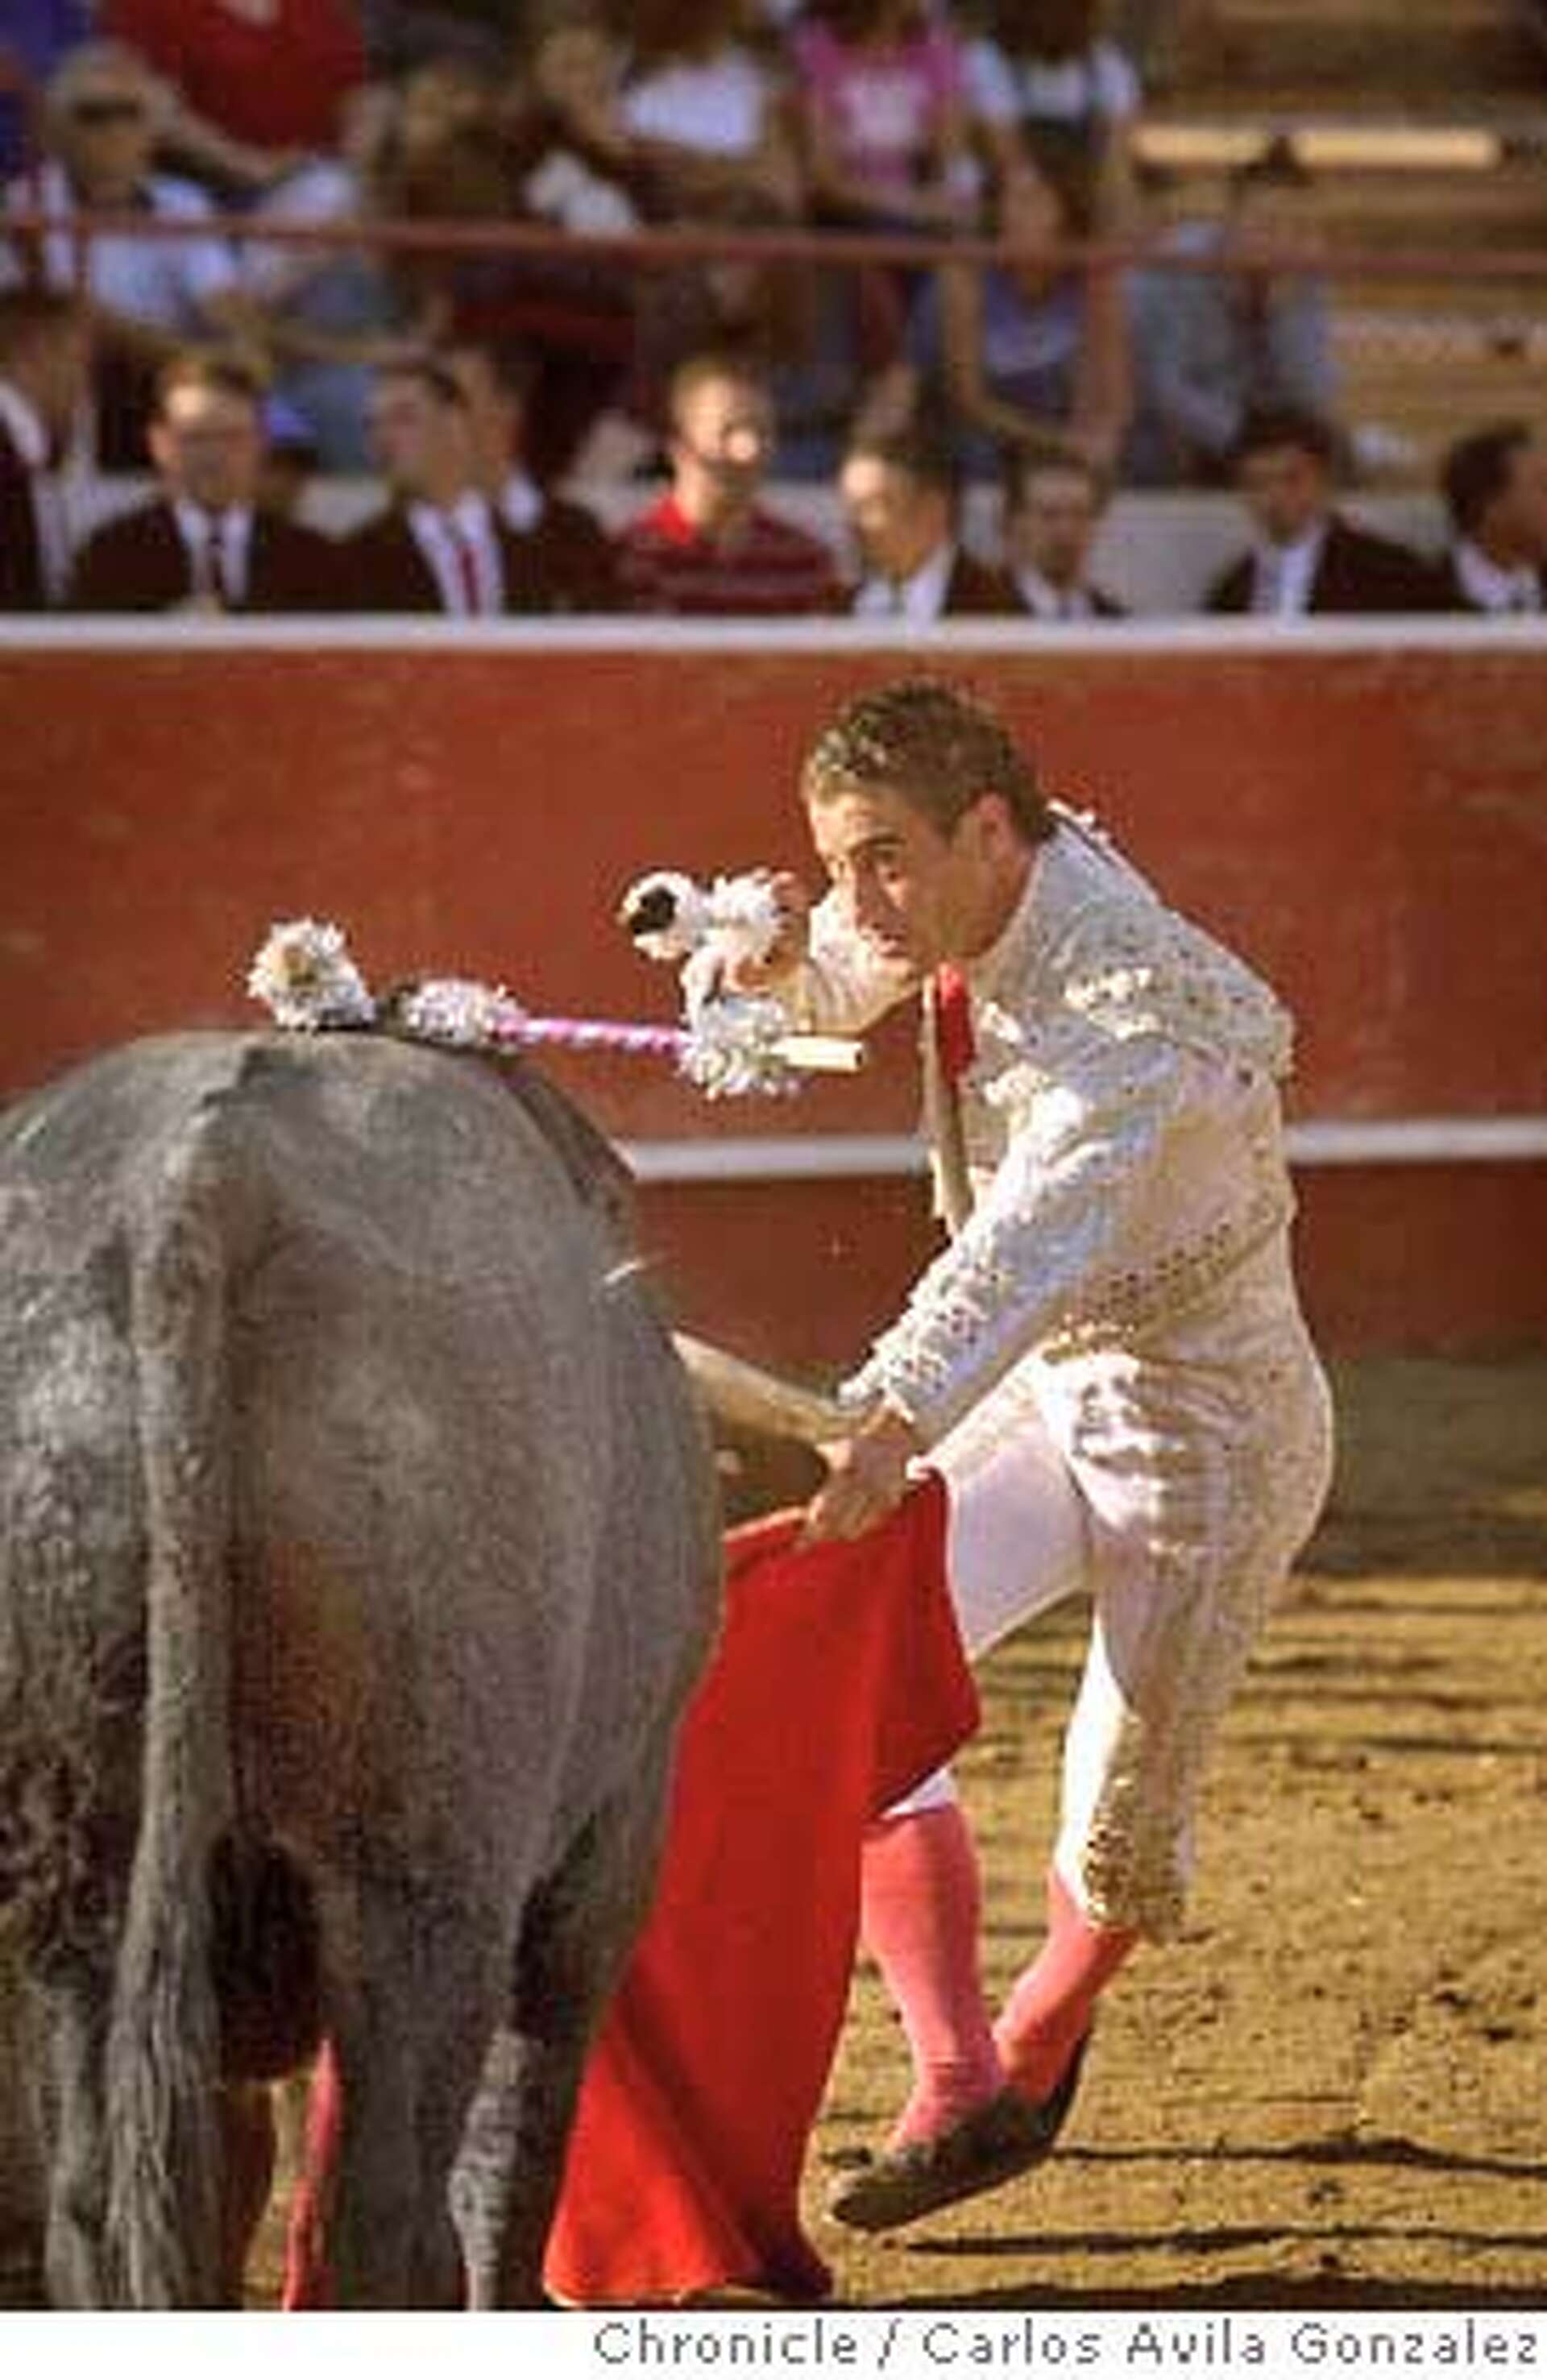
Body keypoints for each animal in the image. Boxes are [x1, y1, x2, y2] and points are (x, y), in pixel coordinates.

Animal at [0, 1028, 719, 2303]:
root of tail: (204, 1176)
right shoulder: (617, 1826)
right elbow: (528, 2114)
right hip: (422, 1871)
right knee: (391, 2205)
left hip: (83, 1876)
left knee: (102, 2193)